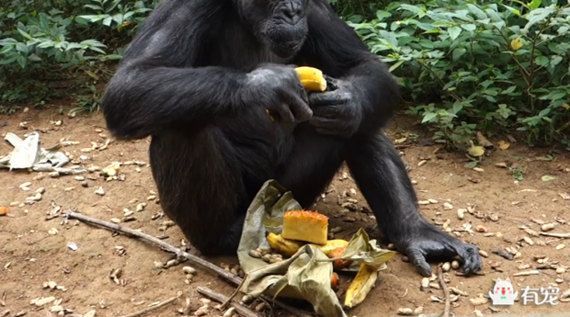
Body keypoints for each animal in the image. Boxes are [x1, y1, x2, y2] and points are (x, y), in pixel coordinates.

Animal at [102, 0, 480, 276]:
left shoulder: (318, 9)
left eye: (301, 1)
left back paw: (415, 233)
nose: (293, 9)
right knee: (181, 121)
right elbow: (132, 82)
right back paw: (220, 235)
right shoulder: (185, 7)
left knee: (359, 126)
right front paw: (267, 84)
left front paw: (349, 102)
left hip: (294, 192)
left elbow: (364, 65)